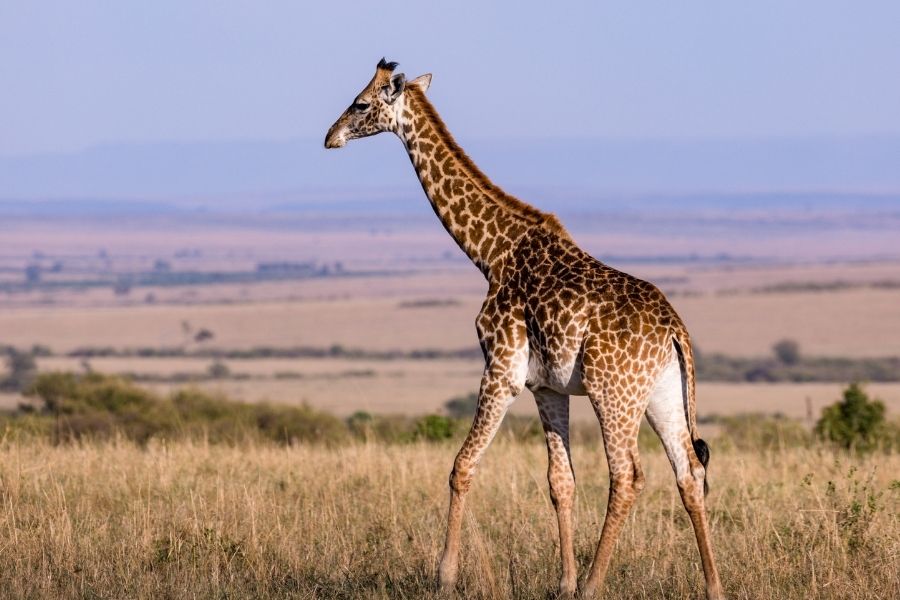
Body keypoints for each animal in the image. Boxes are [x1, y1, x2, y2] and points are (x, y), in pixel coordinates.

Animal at [324, 59, 724, 600]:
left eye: (361, 103)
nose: (330, 137)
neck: (491, 252)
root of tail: (675, 331)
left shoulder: (501, 370)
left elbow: (461, 466)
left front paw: (445, 575)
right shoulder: (545, 387)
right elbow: (561, 481)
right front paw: (563, 582)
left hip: (614, 393)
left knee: (628, 475)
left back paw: (596, 585)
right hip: (661, 393)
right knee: (689, 471)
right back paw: (713, 586)